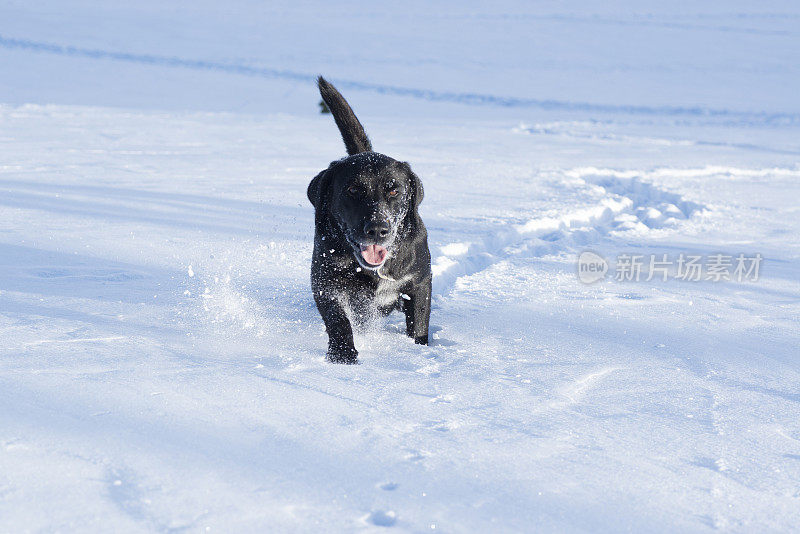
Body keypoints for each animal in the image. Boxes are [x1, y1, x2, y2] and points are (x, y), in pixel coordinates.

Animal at [306, 78, 432, 364]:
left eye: (394, 190)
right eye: (353, 189)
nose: (377, 229)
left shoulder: (420, 280)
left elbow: (419, 323)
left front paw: (419, 351)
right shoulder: (325, 281)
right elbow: (338, 319)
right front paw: (342, 354)